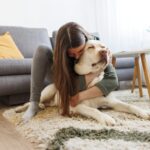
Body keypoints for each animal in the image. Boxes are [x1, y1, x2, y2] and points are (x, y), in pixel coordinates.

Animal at [15, 39, 150, 125]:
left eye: (103, 47)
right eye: (90, 47)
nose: (104, 52)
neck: (92, 81)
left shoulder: (112, 102)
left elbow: (130, 106)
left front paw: (143, 112)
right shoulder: (77, 105)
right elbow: (94, 110)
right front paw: (106, 118)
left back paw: (42, 106)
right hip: (49, 91)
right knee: (31, 101)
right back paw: (22, 109)